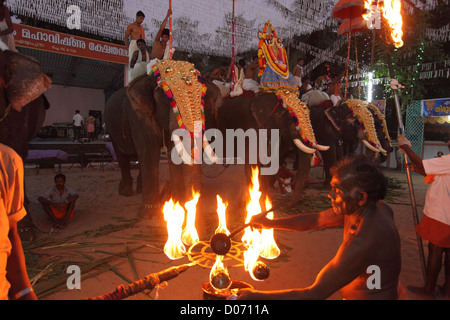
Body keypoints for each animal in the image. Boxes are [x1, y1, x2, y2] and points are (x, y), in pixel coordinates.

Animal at [102, 59, 221, 218]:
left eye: (202, 96)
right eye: (166, 98)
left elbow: (172, 153)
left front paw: (178, 205)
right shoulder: (139, 115)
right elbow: (149, 151)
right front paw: (149, 214)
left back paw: (139, 189)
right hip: (110, 128)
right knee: (122, 155)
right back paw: (125, 192)